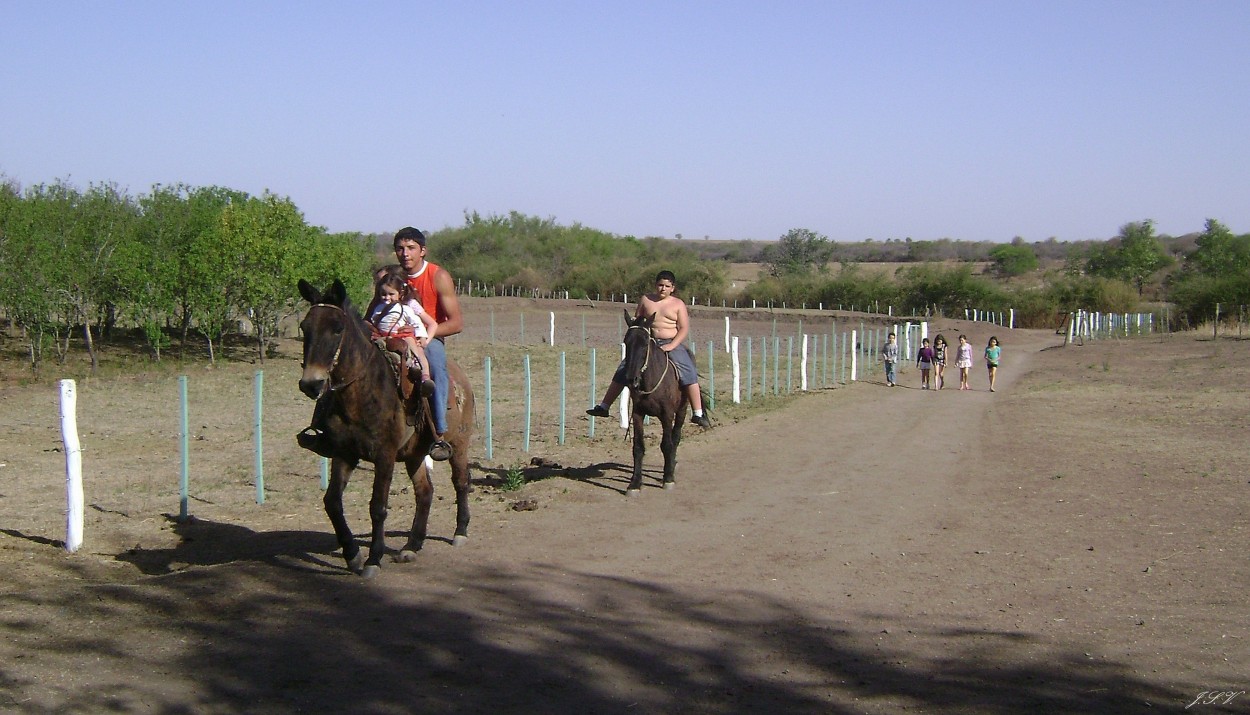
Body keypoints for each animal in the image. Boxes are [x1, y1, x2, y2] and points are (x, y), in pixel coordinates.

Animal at [295, 278, 475, 580]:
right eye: (304, 327)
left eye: (338, 328)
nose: (311, 383)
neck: (362, 393)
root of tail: (462, 379)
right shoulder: (344, 454)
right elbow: (332, 502)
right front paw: (352, 554)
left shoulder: (384, 456)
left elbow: (378, 507)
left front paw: (373, 559)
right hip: (415, 455)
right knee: (425, 492)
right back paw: (412, 546)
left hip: (458, 447)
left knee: (460, 482)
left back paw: (460, 532)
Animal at [620, 310, 690, 495]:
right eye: (626, 342)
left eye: (645, 344)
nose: (631, 379)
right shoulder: (637, 414)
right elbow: (638, 447)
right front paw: (635, 483)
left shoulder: (667, 415)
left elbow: (667, 444)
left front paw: (668, 478)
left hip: (682, 410)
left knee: (676, 438)